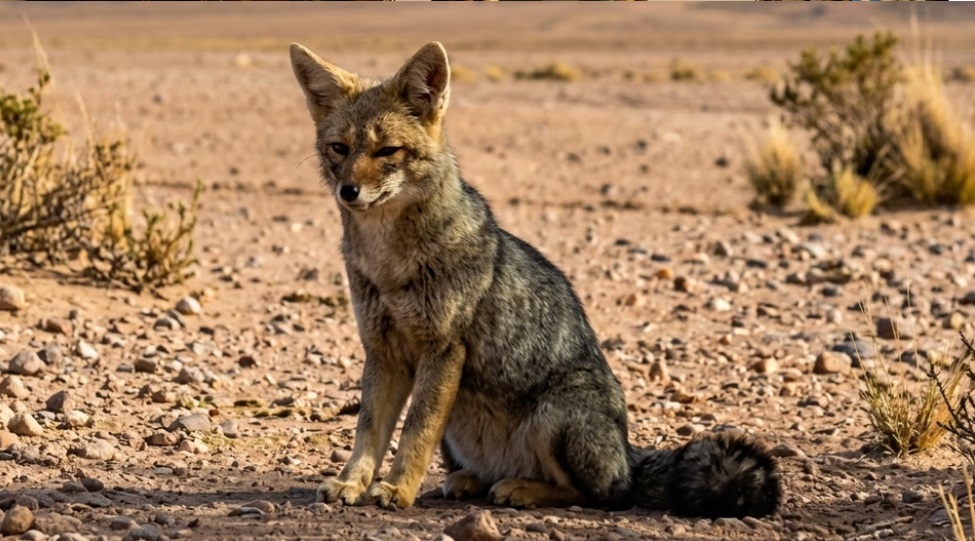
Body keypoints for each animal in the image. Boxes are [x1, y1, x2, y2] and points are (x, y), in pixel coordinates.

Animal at [289, 40, 782, 519]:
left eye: (387, 151)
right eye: (339, 149)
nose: (348, 191)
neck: (389, 261)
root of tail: (628, 456)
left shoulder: (443, 349)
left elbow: (415, 430)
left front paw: (395, 490)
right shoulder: (382, 349)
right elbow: (369, 430)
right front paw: (351, 483)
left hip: (553, 415)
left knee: (599, 494)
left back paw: (521, 489)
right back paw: (473, 480)